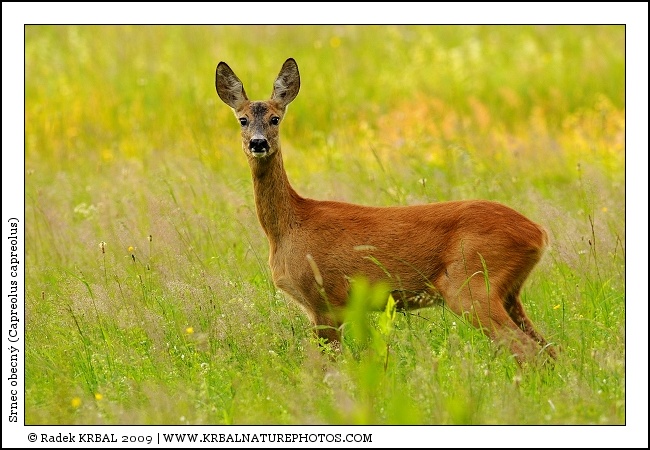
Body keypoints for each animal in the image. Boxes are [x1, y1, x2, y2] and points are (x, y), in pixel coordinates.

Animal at [215, 58, 557, 364]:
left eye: (275, 119)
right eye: (242, 120)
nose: (258, 143)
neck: (288, 227)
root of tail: (538, 233)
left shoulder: (324, 299)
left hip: (471, 286)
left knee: (528, 351)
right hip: (508, 292)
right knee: (550, 350)